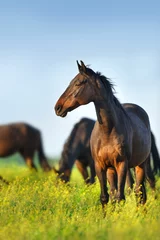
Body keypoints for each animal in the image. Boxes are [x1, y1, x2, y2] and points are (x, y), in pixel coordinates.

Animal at [55, 60, 152, 206]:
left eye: (79, 83)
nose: (58, 107)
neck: (108, 131)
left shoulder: (122, 165)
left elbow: (120, 197)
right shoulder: (99, 165)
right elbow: (106, 197)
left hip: (141, 164)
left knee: (139, 194)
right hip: (112, 169)